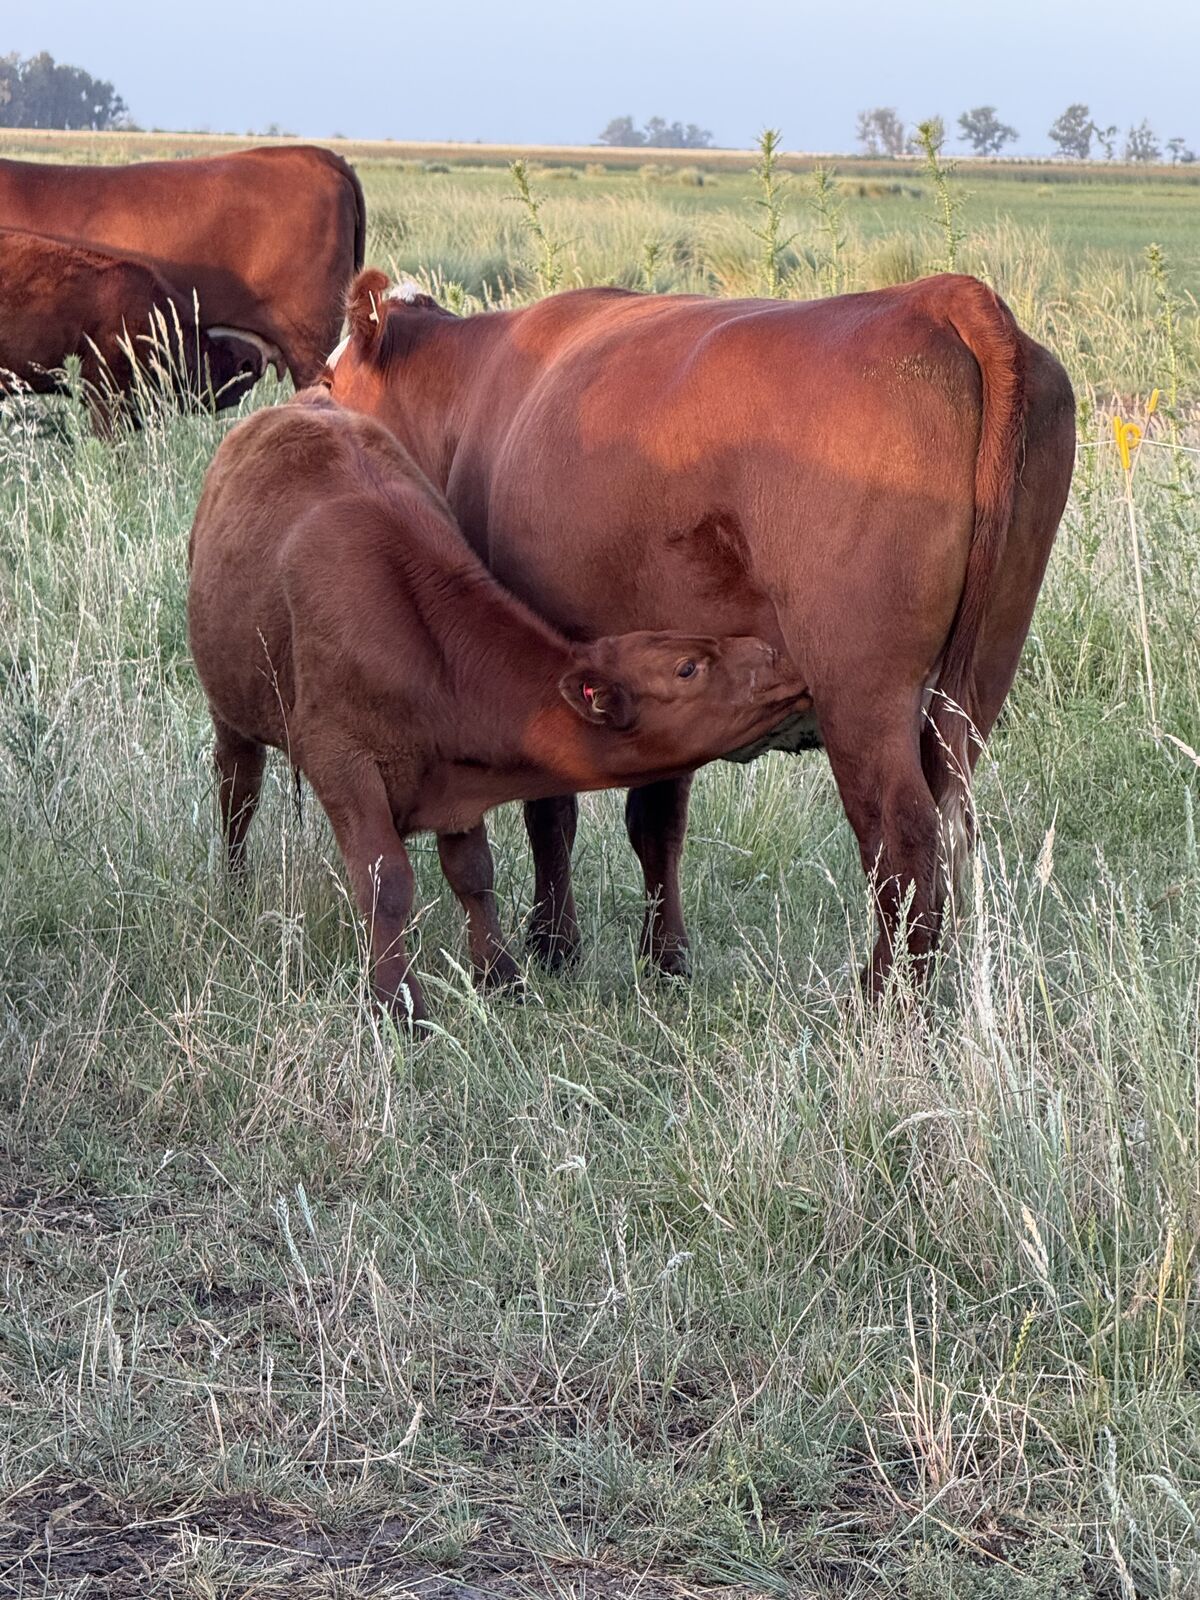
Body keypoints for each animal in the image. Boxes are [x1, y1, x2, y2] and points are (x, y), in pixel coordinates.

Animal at [187, 392, 809, 1022]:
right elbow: (386, 885)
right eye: (687, 668)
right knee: (238, 792)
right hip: (231, 710)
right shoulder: (342, 763)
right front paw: (398, 1003)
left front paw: (500, 974)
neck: (426, 647)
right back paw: (234, 892)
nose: (776, 656)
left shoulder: (457, 775)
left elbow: (472, 874)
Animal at [323, 270, 1076, 995]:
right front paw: (665, 959)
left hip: (864, 689)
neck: (476, 392)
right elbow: (657, 821)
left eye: (329, 381)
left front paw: (554, 945)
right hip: (977, 683)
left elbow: (551, 811)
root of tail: (942, 296)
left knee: (903, 844)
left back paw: (880, 1004)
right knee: (947, 830)